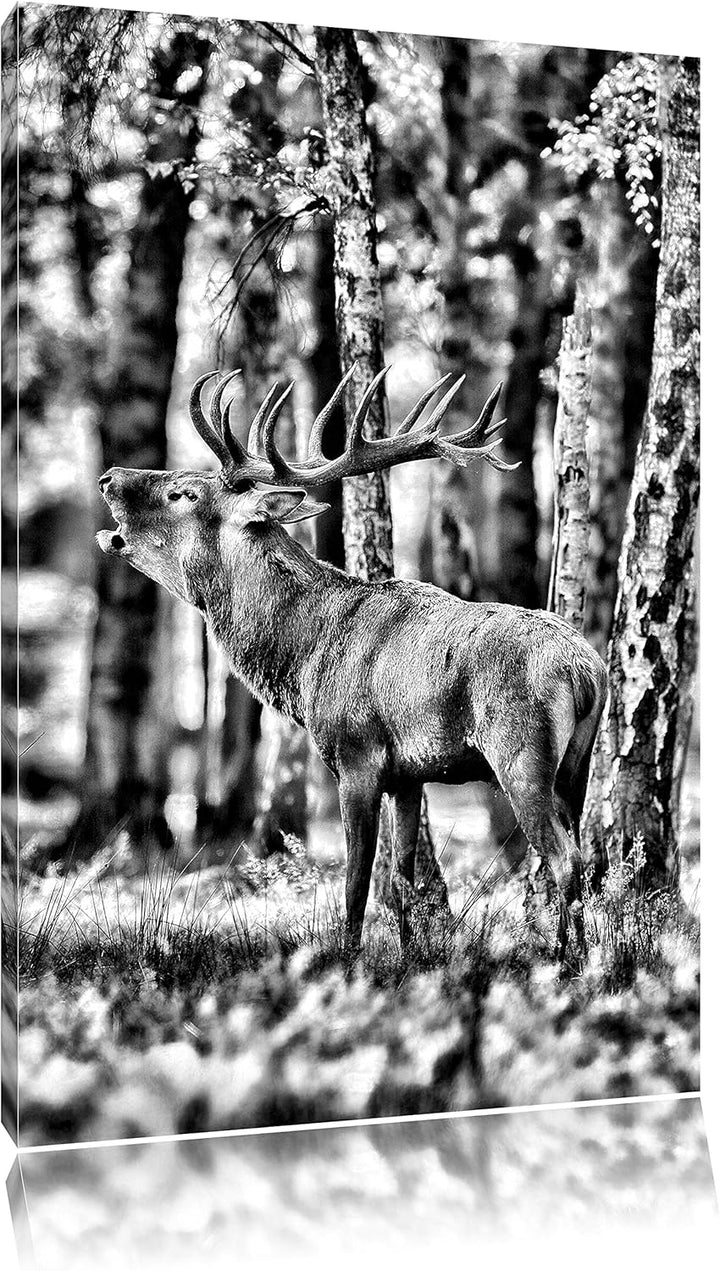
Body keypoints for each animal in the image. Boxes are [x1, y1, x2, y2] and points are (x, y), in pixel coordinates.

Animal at [97, 365, 608, 965]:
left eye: (184, 492)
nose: (109, 477)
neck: (303, 661)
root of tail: (588, 673)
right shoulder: (411, 774)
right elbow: (404, 877)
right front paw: (410, 957)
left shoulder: (355, 754)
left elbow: (357, 880)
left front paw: (349, 961)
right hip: (577, 763)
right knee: (584, 852)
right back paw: (578, 954)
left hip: (520, 751)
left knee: (564, 857)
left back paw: (567, 961)